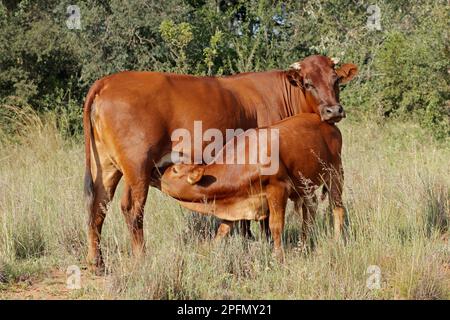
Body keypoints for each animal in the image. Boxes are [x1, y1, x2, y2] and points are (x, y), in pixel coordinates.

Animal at [161, 113, 344, 260]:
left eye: (175, 170)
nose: (161, 175)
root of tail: (329, 125)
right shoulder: (234, 205)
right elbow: (223, 229)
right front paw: (209, 251)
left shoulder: (278, 189)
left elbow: (275, 226)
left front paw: (278, 256)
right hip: (305, 186)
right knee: (310, 209)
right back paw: (303, 244)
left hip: (335, 173)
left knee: (337, 208)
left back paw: (336, 241)